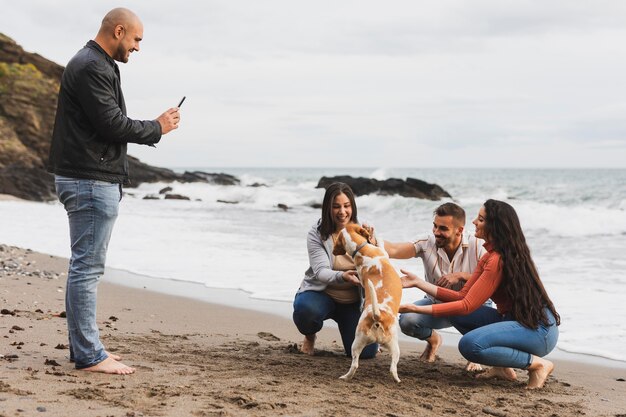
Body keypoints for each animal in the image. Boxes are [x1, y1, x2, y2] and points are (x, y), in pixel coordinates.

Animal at [332, 223, 404, 382]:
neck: (361, 250)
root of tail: (377, 316)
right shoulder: (383, 251)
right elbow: (381, 243)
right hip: (392, 345)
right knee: (387, 367)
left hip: (360, 343)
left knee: (359, 365)